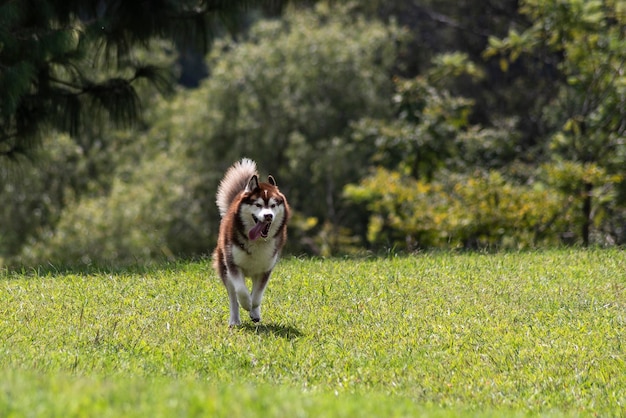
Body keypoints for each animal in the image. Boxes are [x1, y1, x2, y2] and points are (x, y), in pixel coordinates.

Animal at [210, 158, 288, 324]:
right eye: (258, 205)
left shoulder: (265, 269)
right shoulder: (232, 264)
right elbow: (241, 290)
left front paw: (253, 308)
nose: (268, 216)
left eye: (273, 205)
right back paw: (234, 320)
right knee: (233, 297)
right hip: (223, 267)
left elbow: (257, 295)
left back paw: (255, 313)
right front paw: (246, 304)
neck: (257, 242)